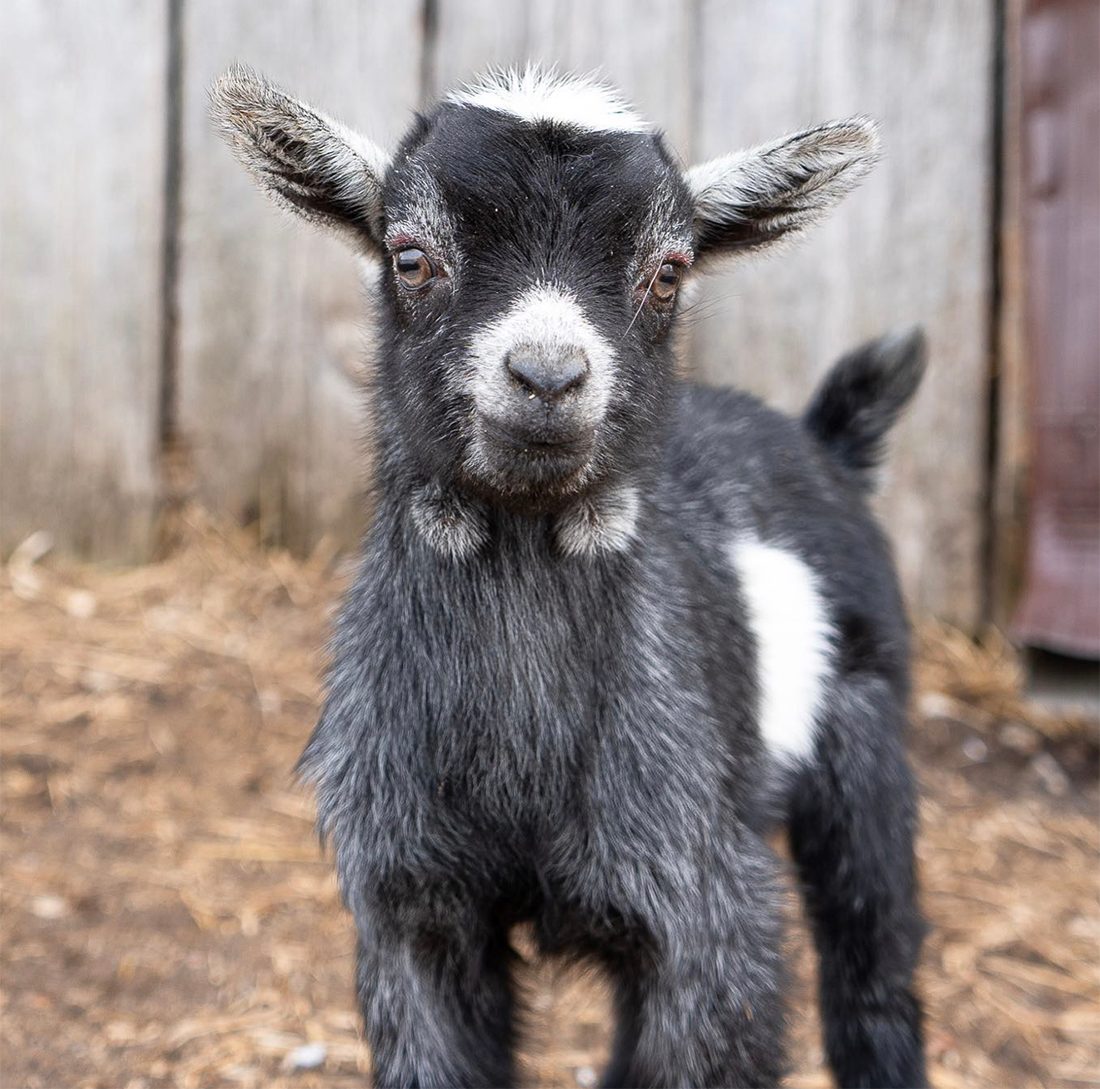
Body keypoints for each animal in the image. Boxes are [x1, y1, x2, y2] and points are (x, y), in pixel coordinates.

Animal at [212, 68, 928, 1089]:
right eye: (409, 256)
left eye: (668, 271)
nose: (548, 376)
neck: (519, 762)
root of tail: (823, 441)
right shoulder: (410, 907)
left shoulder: (710, 915)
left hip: (867, 736)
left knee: (874, 972)